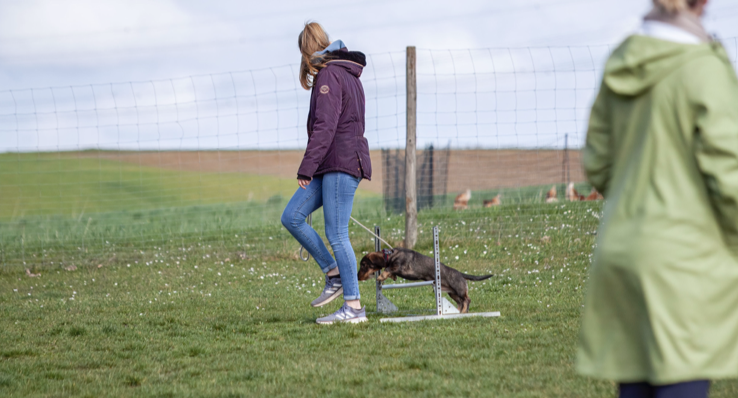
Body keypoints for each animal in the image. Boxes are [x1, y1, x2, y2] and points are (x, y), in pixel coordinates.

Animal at [358, 247, 492, 312]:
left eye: (363, 265)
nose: (358, 277)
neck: (390, 255)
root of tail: (461, 274)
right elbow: (390, 272)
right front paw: (390, 277)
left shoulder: (399, 266)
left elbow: (388, 268)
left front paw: (381, 276)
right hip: (451, 293)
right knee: (460, 302)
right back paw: (458, 311)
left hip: (459, 290)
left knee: (467, 300)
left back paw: (463, 311)